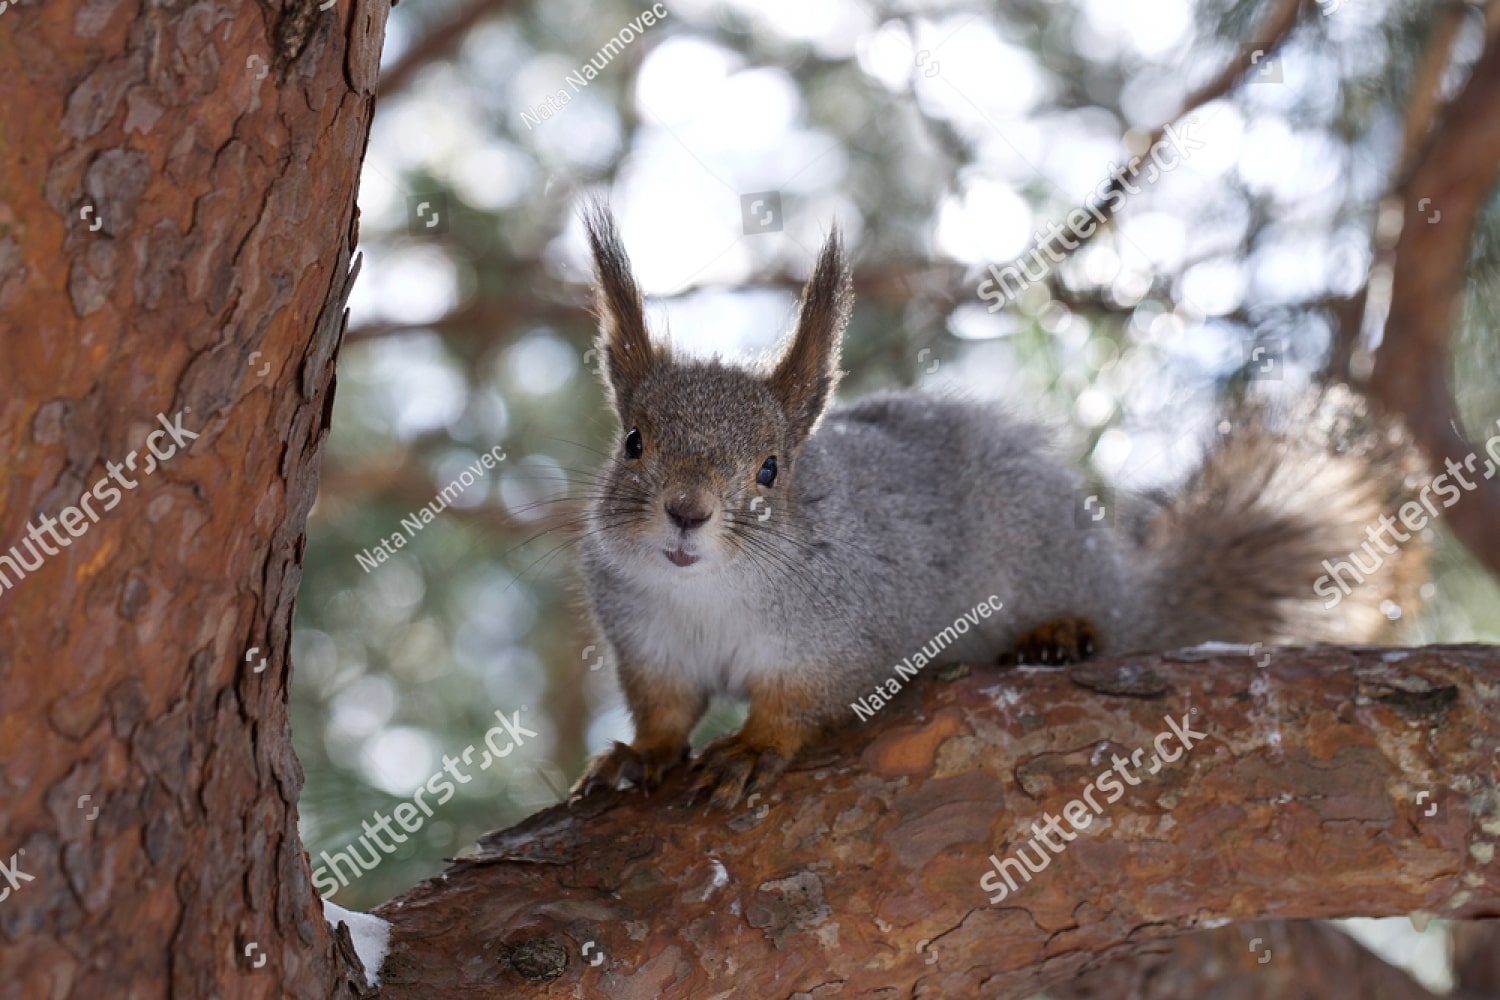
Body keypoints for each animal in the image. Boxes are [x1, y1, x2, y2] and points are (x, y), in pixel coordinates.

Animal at [568, 204, 1429, 810]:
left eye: (771, 469)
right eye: (633, 442)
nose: (686, 512)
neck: (705, 593)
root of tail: (1130, 590)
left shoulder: (839, 637)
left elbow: (799, 706)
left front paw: (752, 748)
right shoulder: (649, 644)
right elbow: (665, 712)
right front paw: (637, 756)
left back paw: (1061, 632)